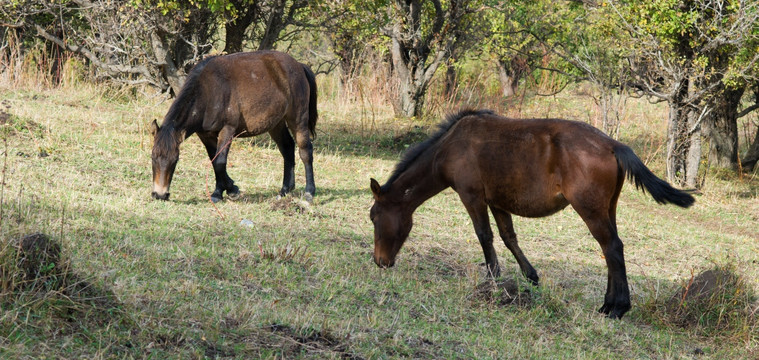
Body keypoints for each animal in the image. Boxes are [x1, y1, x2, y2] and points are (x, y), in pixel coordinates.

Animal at [151, 50, 318, 202]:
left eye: (175, 160)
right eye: (152, 157)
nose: (160, 195)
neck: (208, 91)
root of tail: (299, 65)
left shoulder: (228, 130)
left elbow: (220, 162)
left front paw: (227, 191)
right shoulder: (205, 135)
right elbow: (214, 161)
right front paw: (223, 190)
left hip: (297, 119)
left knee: (305, 151)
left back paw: (309, 192)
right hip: (276, 124)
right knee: (287, 148)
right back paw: (284, 190)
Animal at [372, 109, 696, 318]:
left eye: (373, 216)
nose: (379, 261)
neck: (450, 147)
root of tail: (613, 144)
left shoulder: (472, 196)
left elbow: (484, 235)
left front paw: (493, 277)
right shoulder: (497, 202)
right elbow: (508, 236)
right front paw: (530, 276)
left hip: (590, 209)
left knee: (612, 247)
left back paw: (618, 308)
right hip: (608, 208)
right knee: (611, 250)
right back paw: (607, 303)